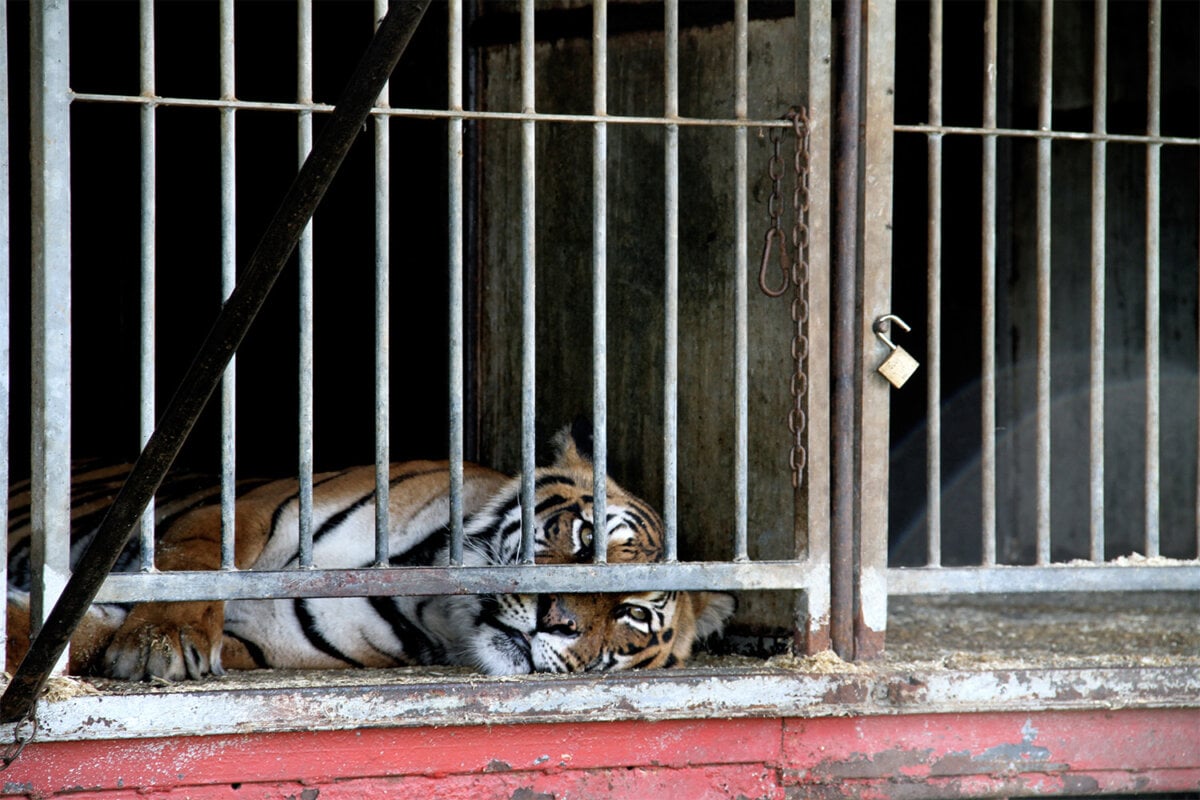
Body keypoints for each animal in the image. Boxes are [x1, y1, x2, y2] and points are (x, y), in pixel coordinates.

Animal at [9, 424, 734, 681]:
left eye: (633, 614)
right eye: (586, 539)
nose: (555, 622)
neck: (427, 599)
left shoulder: (261, 643)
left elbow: (75, 637)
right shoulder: (244, 511)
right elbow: (193, 566)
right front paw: (162, 639)